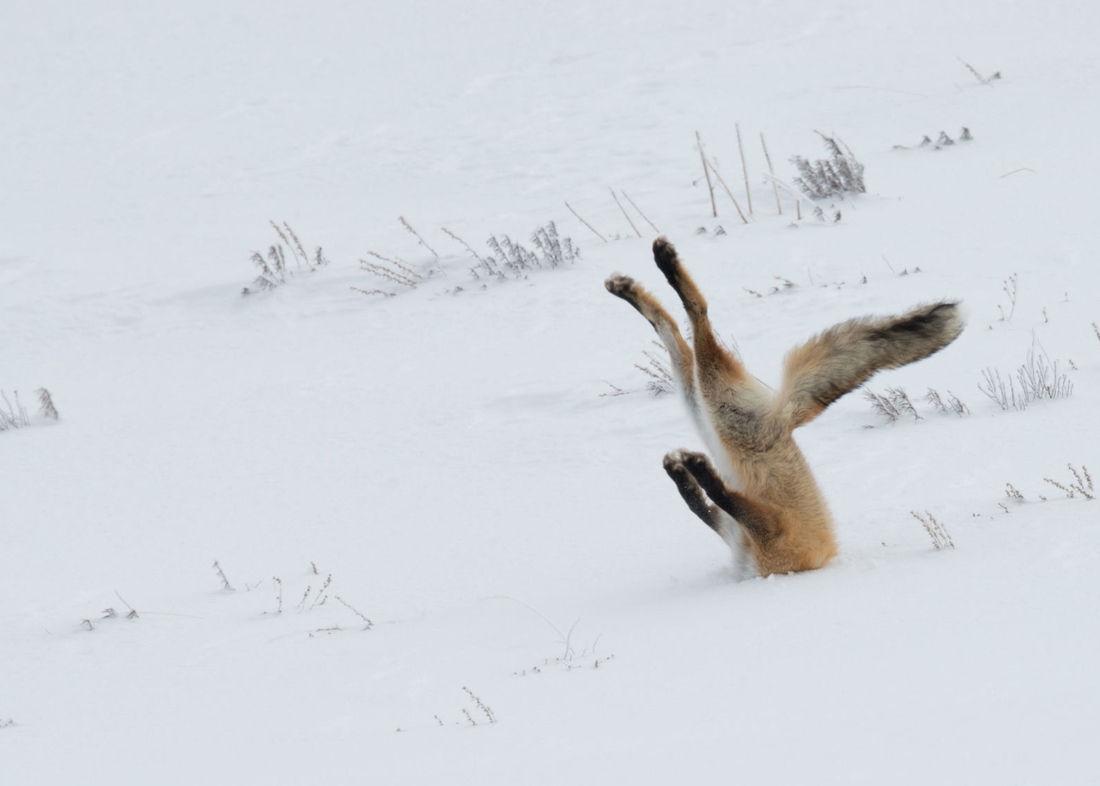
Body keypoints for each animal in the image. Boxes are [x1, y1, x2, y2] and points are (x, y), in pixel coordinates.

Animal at [611, 236, 963, 576]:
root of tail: (785, 416)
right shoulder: (737, 529)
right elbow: (700, 504)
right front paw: (682, 472)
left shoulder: (768, 532)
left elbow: (717, 497)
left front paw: (695, 469)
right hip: (703, 406)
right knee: (672, 328)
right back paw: (630, 287)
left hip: (717, 407)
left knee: (698, 316)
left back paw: (664, 266)